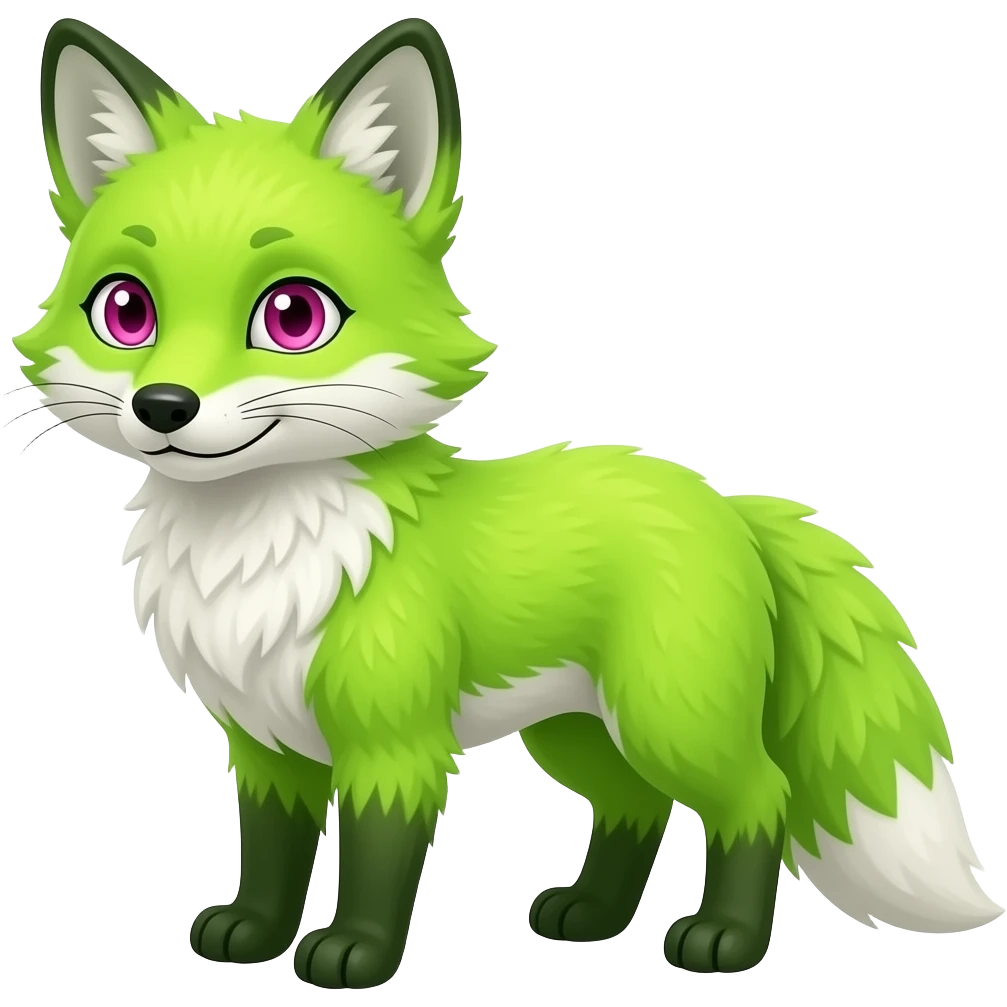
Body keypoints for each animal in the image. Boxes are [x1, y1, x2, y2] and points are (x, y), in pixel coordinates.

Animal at [13, 15, 1002, 990]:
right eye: (125, 311)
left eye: (293, 316)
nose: (163, 405)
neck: (255, 553)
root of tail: (727, 500)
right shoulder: (265, 745)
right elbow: (270, 852)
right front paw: (255, 931)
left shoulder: (394, 743)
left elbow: (377, 859)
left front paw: (354, 953)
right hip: (577, 731)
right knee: (637, 805)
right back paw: (590, 915)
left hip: (666, 717)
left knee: (759, 795)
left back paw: (723, 939)